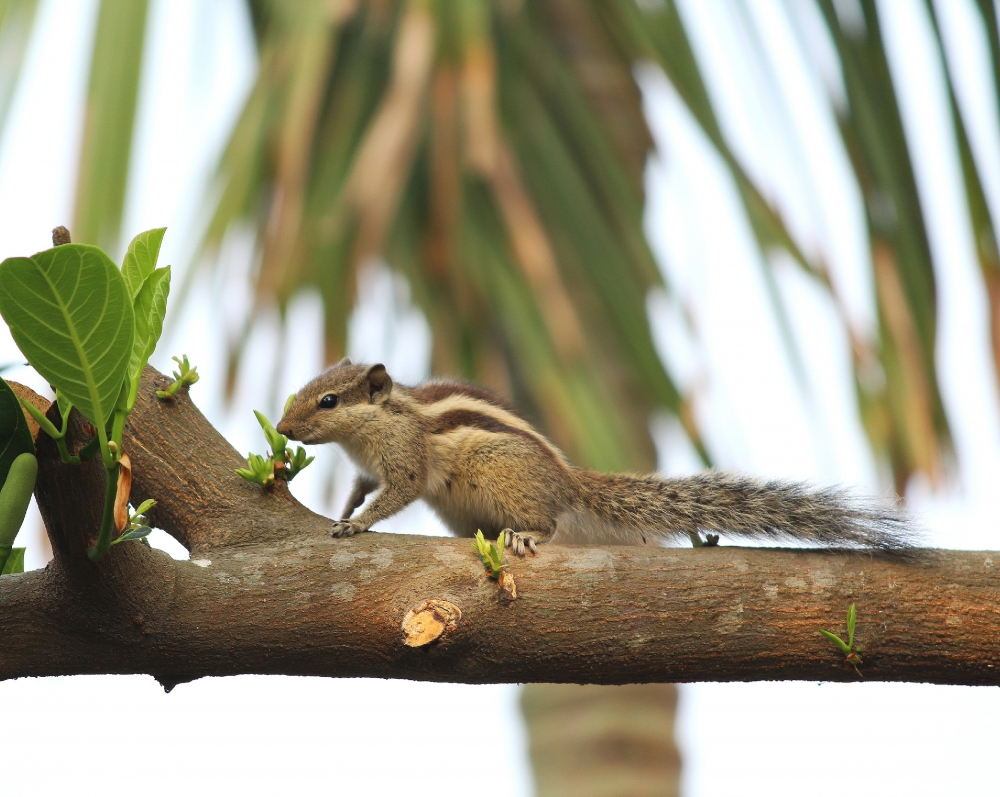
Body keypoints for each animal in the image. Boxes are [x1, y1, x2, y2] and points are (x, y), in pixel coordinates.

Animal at [275, 358, 910, 555]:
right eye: (305, 388)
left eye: (329, 401)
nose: (281, 428)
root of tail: (568, 482)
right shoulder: (368, 466)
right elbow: (364, 486)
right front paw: (348, 507)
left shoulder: (405, 459)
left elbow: (398, 492)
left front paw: (357, 525)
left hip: (502, 476)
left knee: (551, 524)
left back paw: (527, 535)